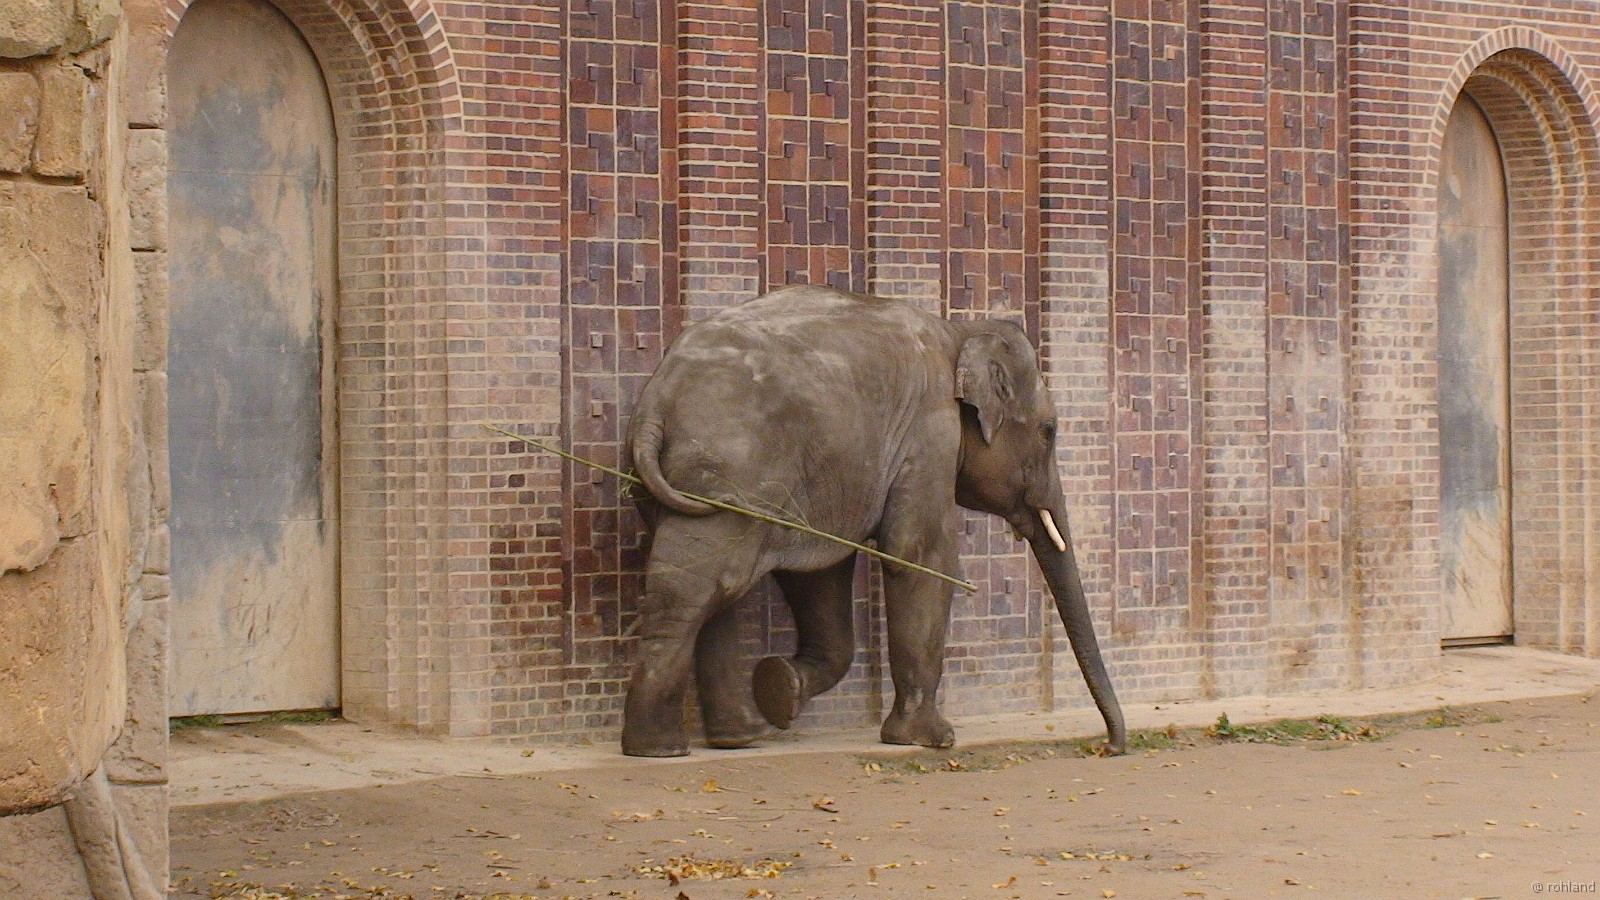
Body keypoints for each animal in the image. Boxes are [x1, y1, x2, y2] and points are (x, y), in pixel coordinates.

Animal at [619, 285, 1126, 758]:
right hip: (729, 471)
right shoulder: (929, 429)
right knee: (699, 586)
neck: (958, 332)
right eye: (1049, 432)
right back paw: (660, 748)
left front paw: (781, 688)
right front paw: (931, 739)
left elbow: (821, 572)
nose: (1111, 747)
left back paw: (737, 737)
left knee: (718, 588)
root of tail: (656, 401)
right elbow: (919, 553)